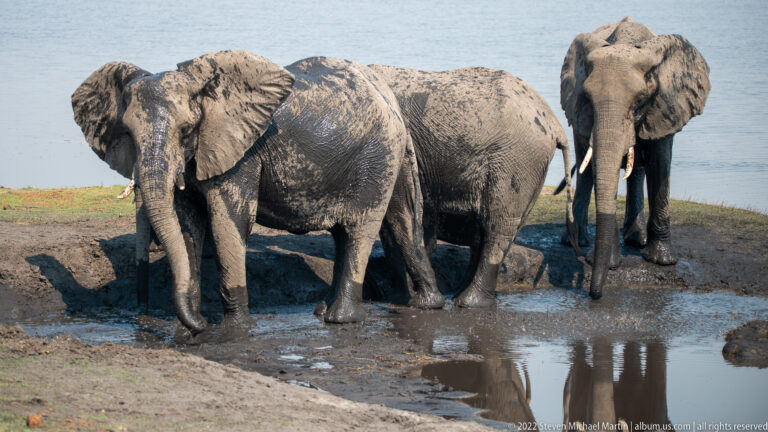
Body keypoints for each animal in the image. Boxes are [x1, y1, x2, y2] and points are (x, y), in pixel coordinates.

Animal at [72, 51, 417, 333]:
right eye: (128, 134)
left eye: (186, 130)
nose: (200, 325)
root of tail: (387, 94)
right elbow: (187, 226)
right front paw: (191, 326)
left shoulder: (243, 154)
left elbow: (230, 221)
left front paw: (234, 328)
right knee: (341, 236)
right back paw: (321, 312)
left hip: (380, 158)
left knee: (359, 231)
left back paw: (341, 319)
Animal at [367, 64, 576, 308]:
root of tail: (555, 124)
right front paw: (398, 296)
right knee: (493, 228)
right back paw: (461, 295)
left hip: (518, 161)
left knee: (499, 224)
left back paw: (470, 302)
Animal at [560, 17, 710, 299]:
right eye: (588, 98)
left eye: (640, 100)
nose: (594, 295)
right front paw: (607, 264)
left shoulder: (666, 105)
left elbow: (659, 165)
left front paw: (662, 261)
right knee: (587, 168)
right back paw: (578, 239)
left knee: (637, 170)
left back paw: (635, 238)